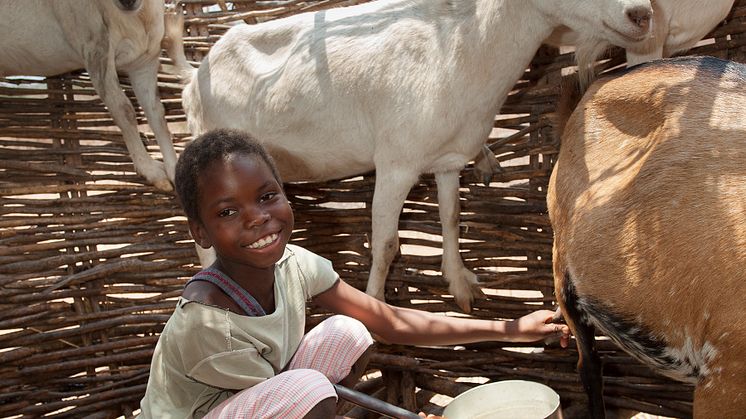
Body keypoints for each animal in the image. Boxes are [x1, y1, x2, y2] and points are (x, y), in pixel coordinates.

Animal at [1, 0, 179, 192]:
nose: (127, 2)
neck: (138, 18)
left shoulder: (144, 63)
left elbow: (157, 114)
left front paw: (174, 170)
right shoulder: (97, 52)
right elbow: (124, 111)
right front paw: (150, 171)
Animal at [180, 0, 652, 314]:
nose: (642, 14)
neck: (462, 49)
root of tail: (193, 80)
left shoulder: (447, 160)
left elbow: (451, 216)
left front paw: (461, 284)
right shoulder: (396, 164)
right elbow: (387, 243)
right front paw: (374, 305)